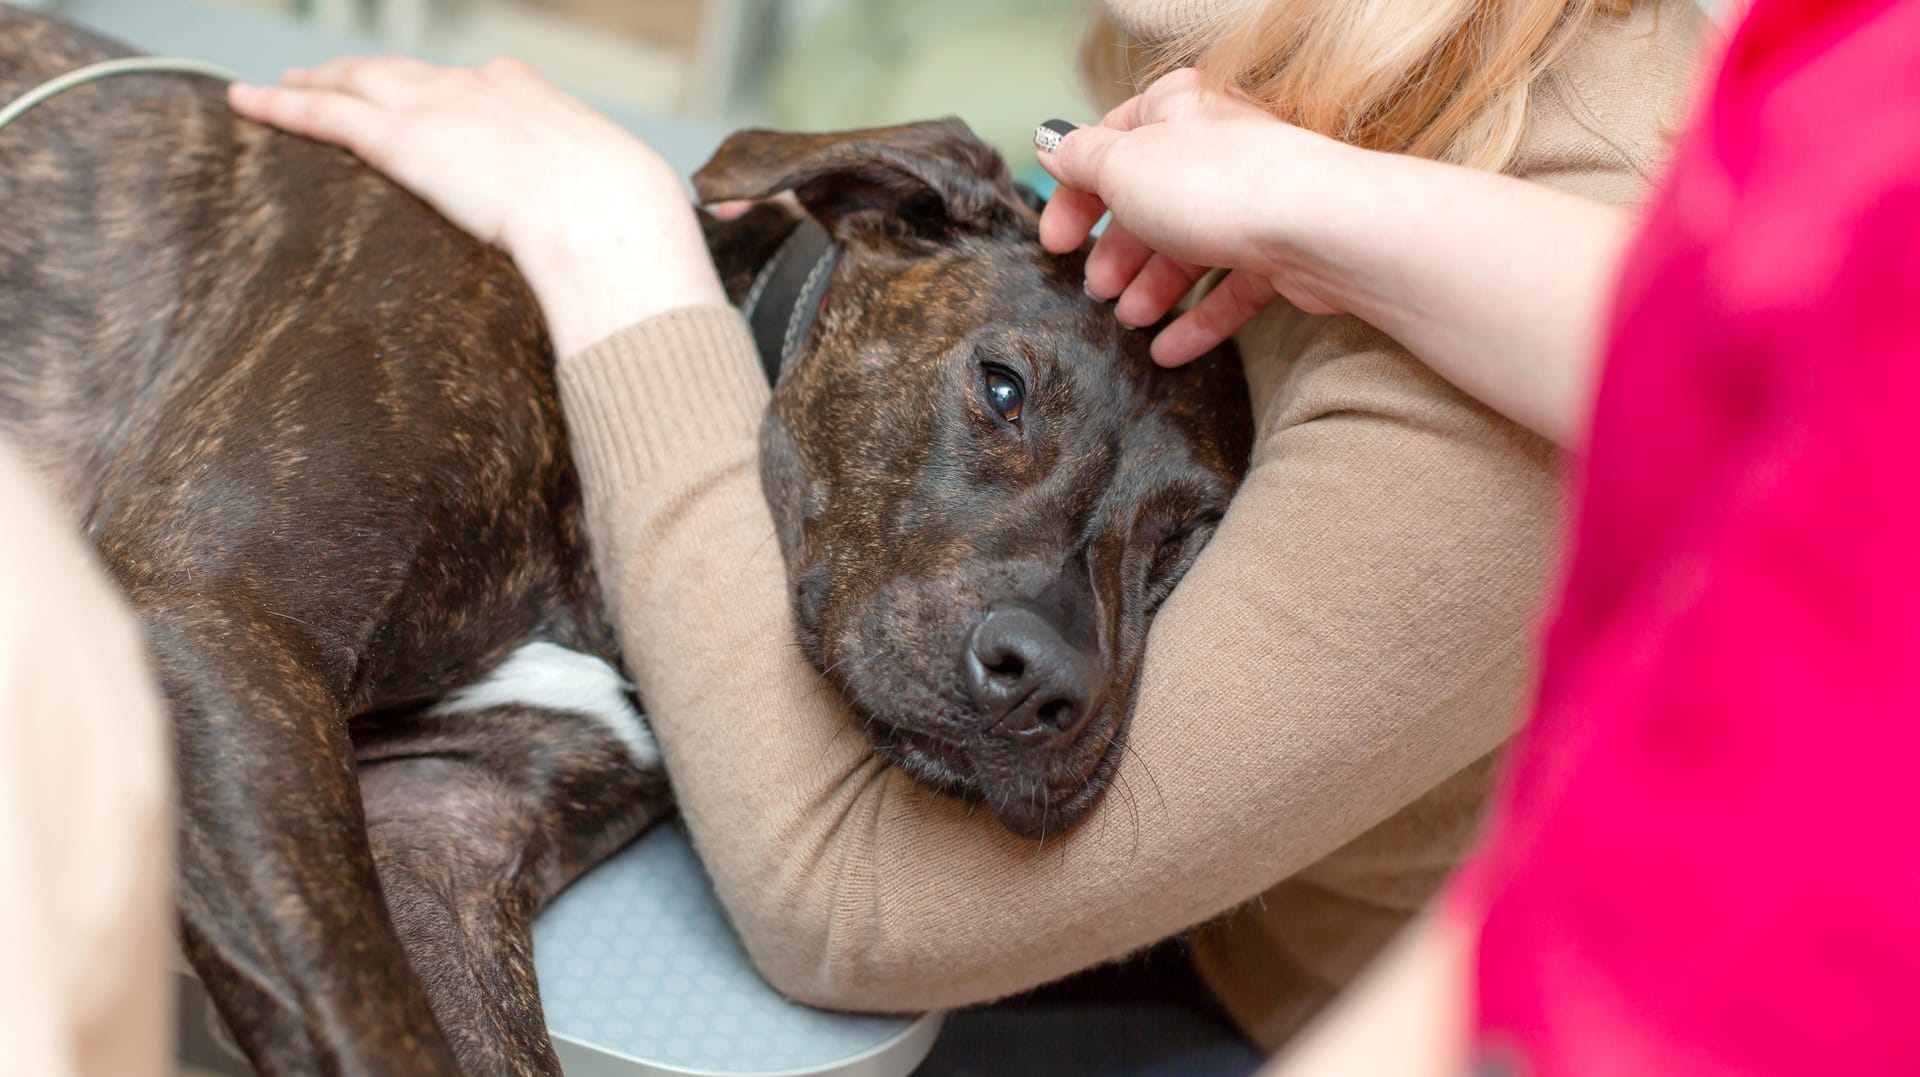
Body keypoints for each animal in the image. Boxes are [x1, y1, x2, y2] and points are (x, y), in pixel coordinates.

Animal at [0, 8, 1251, 1075]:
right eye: (1001, 388)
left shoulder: (440, 835)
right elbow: (374, 1024)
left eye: (1188, 535)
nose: (1047, 685)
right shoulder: (212, 620)